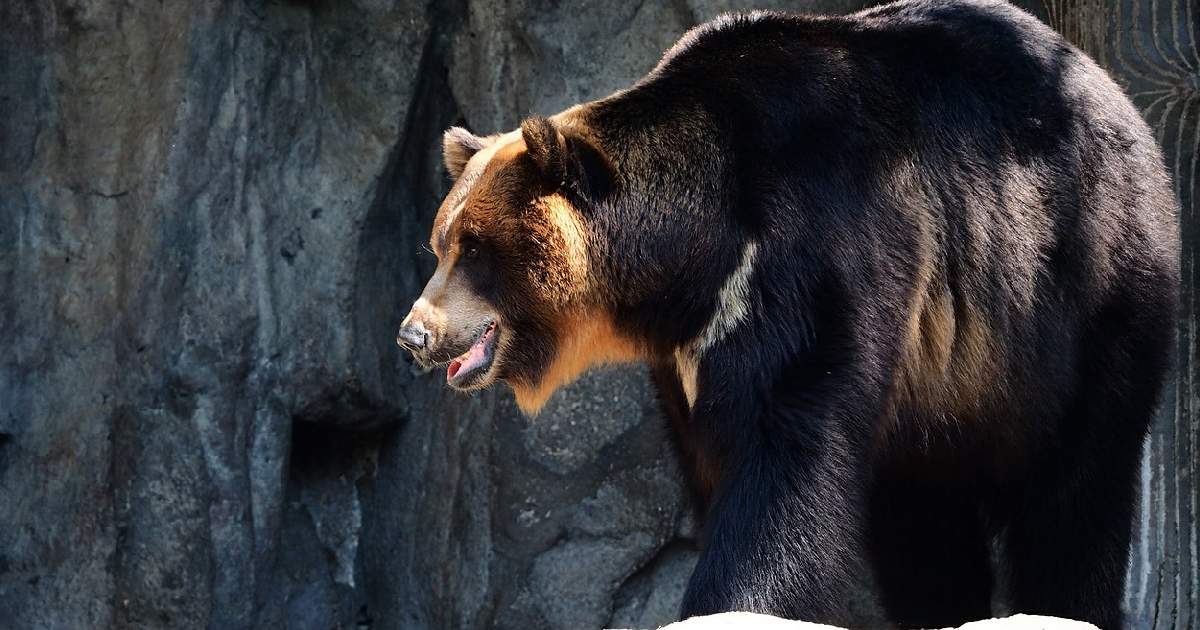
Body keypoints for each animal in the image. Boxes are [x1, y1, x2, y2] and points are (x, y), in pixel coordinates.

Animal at [396, 0, 1180, 624]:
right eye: (440, 241)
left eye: (475, 246)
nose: (414, 333)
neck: (694, 254)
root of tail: (1119, 98)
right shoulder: (691, 348)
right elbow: (715, 457)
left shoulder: (813, 251)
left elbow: (782, 455)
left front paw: (732, 601)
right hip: (945, 389)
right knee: (925, 520)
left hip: (1084, 293)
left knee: (1076, 488)